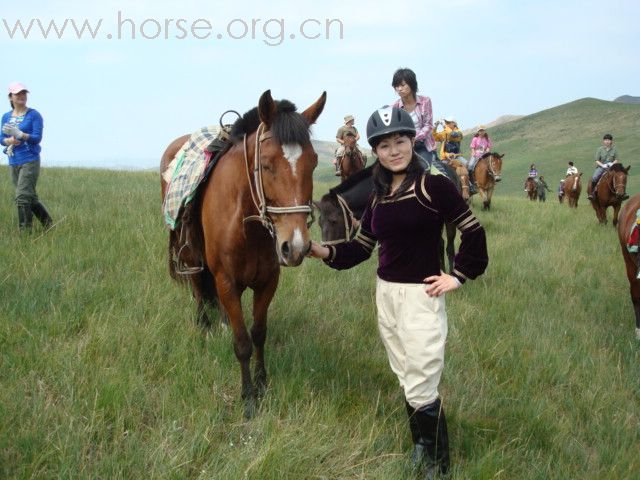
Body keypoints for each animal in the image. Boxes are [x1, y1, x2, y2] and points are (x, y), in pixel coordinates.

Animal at [158, 91, 328, 416]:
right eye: (267, 164)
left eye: (314, 162)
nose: (295, 246)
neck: (248, 224)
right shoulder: (226, 281)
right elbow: (242, 342)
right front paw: (248, 397)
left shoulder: (268, 281)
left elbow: (259, 333)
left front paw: (262, 382)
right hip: (192, 256)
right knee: (198, 289)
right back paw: (203, 325)